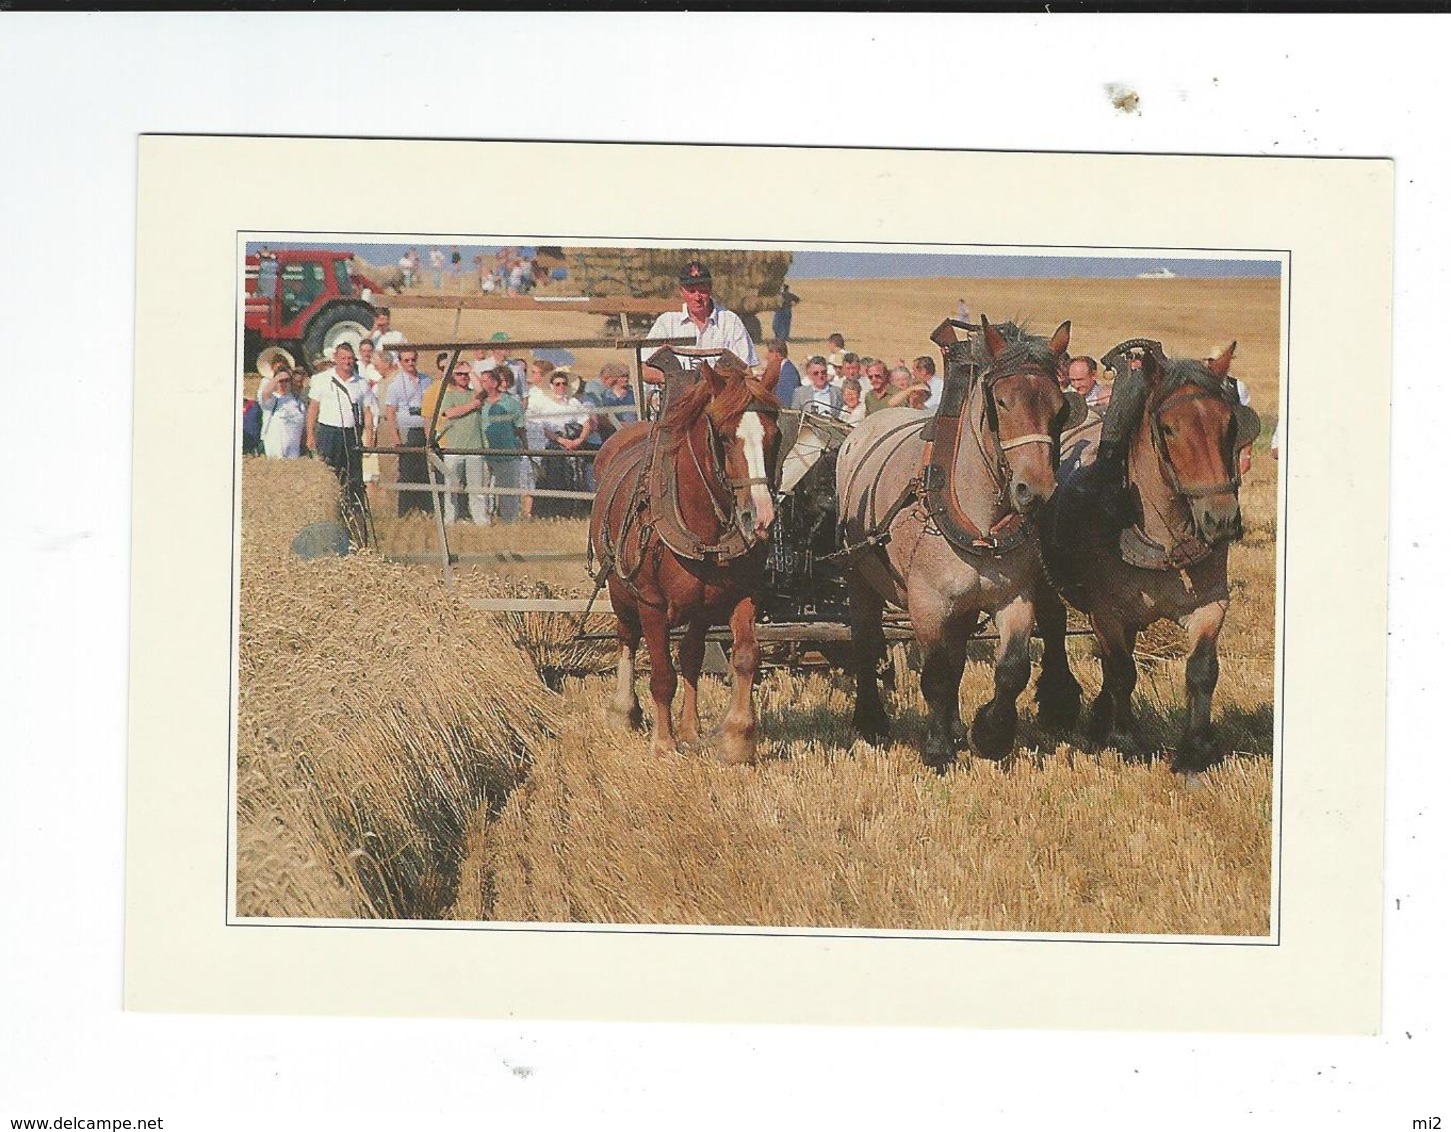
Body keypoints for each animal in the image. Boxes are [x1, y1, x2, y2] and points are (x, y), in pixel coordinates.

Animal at [589, 358, 783, 766]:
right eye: (723, 437)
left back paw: (691, 728)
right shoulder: (650, 602)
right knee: (627, 638)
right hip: (620, 590)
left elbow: (744, 657)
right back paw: (624, 711)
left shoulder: (744, 594)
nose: (759, 518)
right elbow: (662, 674)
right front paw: (663, 742)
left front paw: (738, 738)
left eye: (774, 437)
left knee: (691, 654)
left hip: (700, 608)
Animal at [835, 317, 1085, 772]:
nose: (1035, 491)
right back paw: (871, 719)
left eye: (1059, 407)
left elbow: (1010, 669)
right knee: (865, 643)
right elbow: (934, 674)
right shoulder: (927, 603)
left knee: (954, 656)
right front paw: (937, 750)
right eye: (1001, 402)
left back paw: (952, 725)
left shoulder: (1013, 596)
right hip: (860, 577)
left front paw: (990, 735)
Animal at [1044, 341, 1259, 772]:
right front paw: (1126, 739)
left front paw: (1195, 748)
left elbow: (1202, 670)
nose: (1221, 520)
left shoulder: (1211, 604)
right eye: (1169, 428)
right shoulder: (1106, 612)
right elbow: (1123, 672)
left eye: (1229, 423)